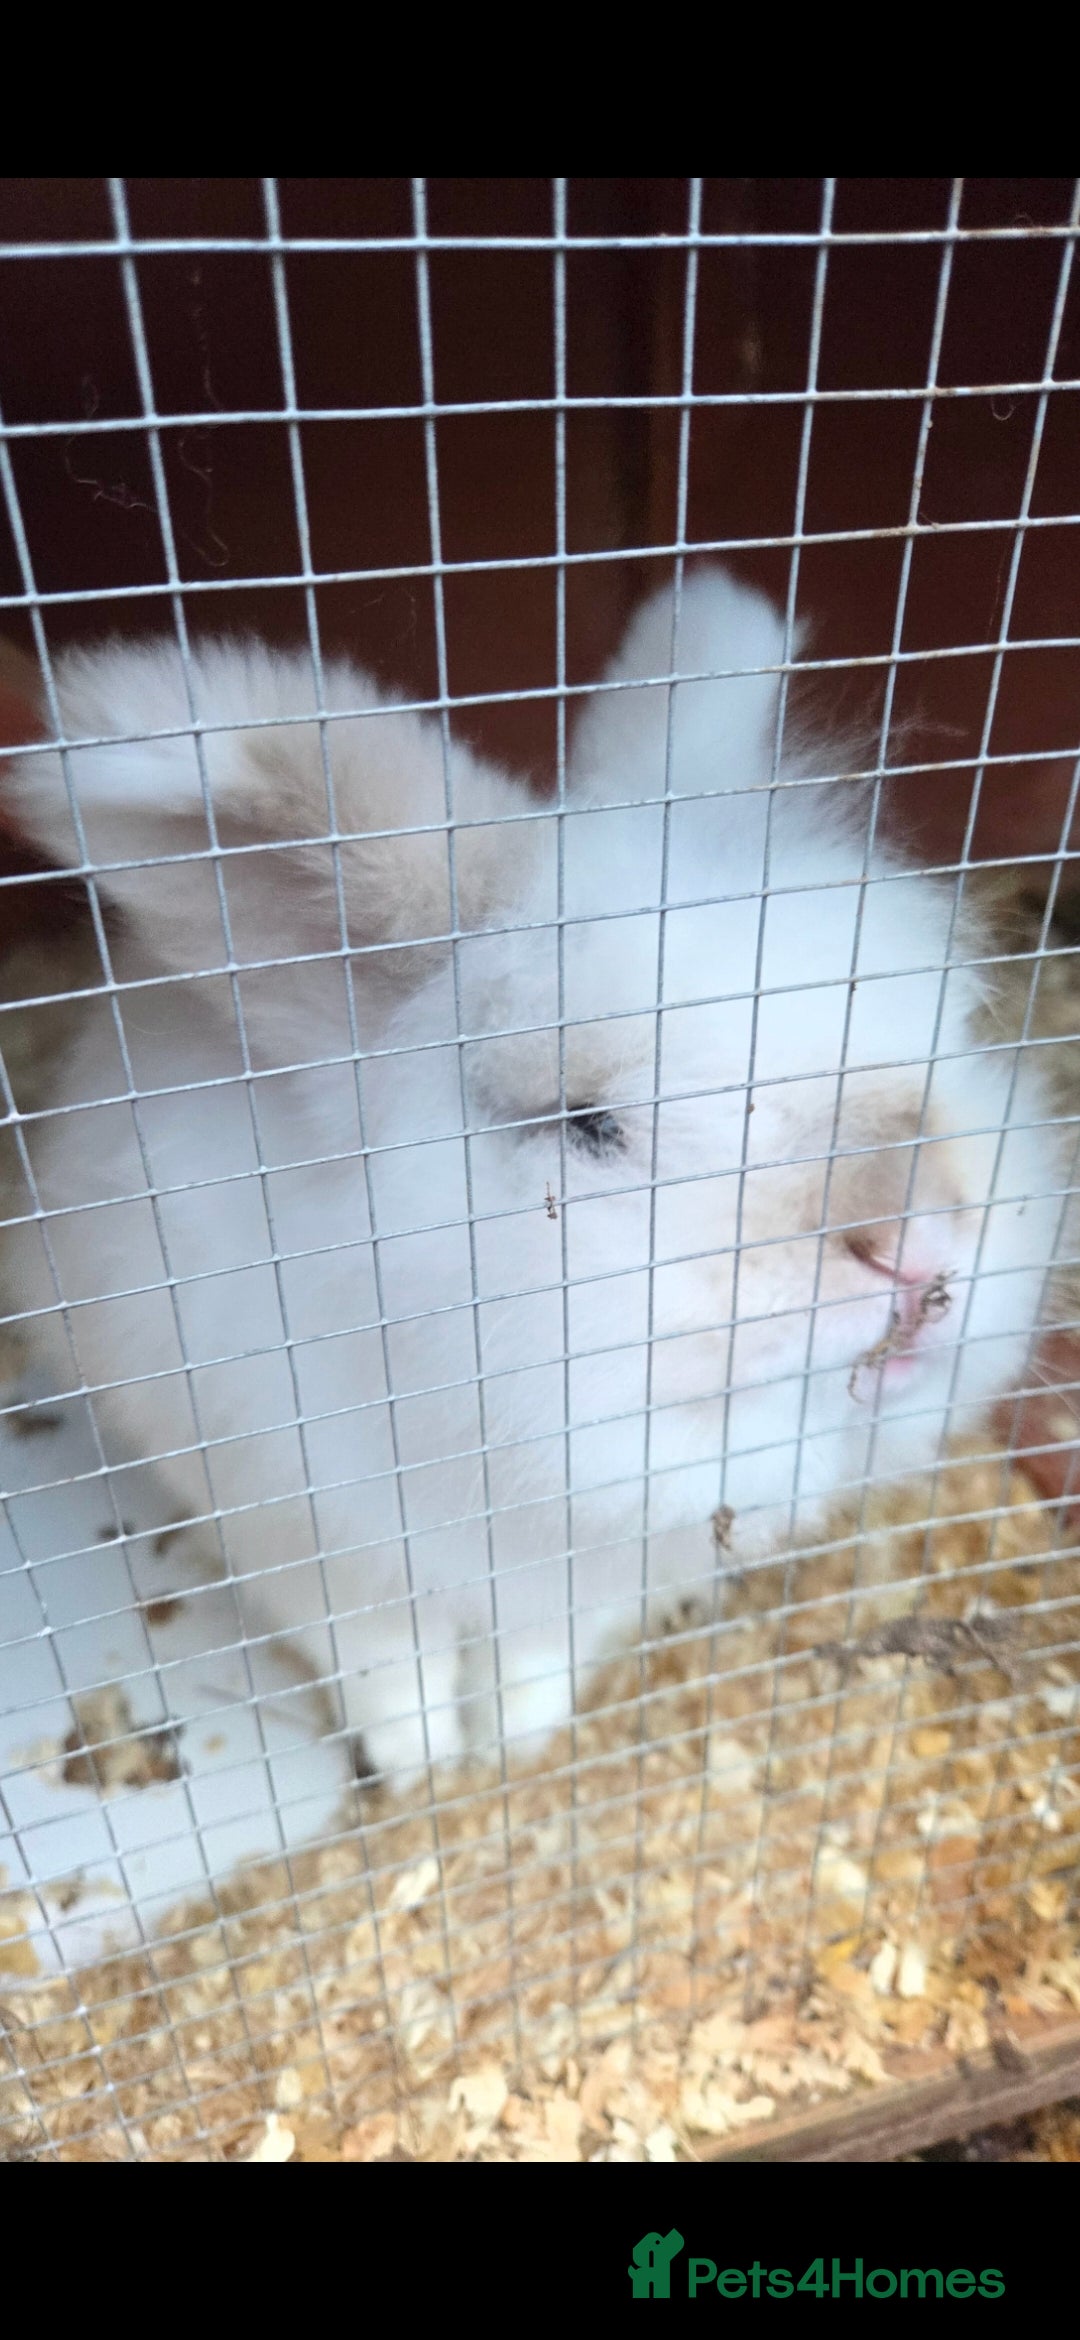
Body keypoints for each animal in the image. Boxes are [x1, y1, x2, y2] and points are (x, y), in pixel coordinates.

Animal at [0, 569, 1068, 1791]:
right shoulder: (309, 1542)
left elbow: (533, 1661)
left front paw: (521, 1743)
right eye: (588, 1125)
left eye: (939, 1027)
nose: (913, 1241)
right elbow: (388, 1667)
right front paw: (424, 1771)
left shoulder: (579, 1585)